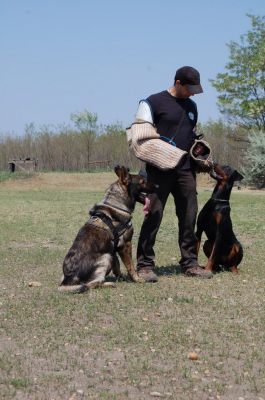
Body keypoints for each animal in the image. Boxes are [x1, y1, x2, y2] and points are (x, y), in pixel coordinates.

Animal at [58, 164, 157, 292]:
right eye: (142, 182)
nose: (158, 186)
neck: (117, 203)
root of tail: (68, 280)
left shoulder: (114, 249)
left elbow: (117, 265)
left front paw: (121, 277)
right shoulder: (125, 245)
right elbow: (130, 266)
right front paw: (137, 279)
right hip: (106, 257)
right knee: (91, 284)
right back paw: (108, 283)